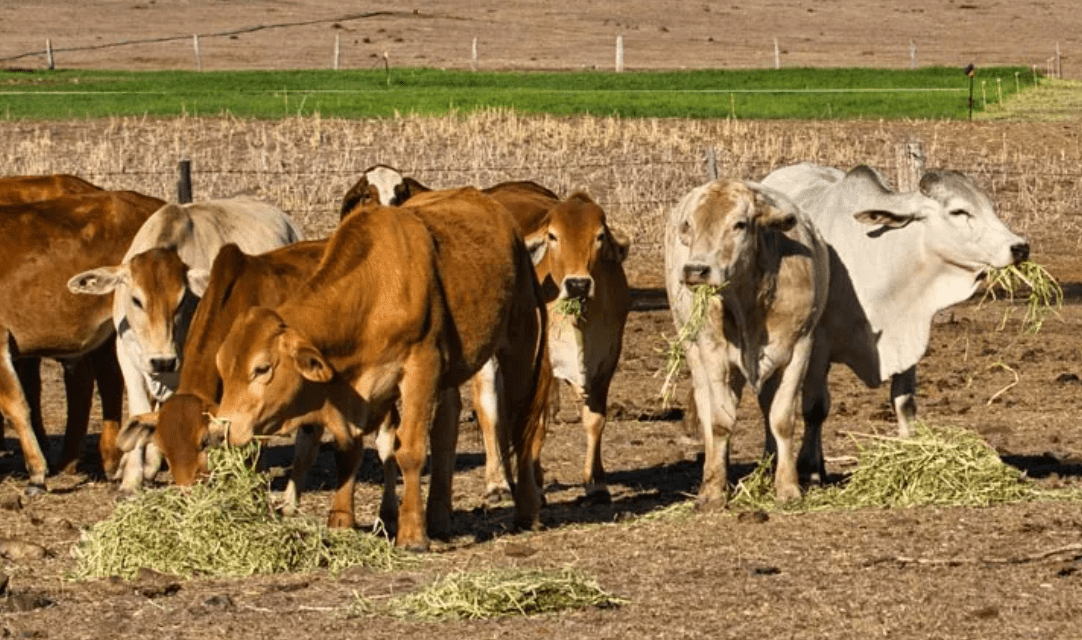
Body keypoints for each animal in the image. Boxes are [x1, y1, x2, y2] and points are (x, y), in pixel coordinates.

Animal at [212, 188, 549, 550]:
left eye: (261, 369)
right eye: (223, 368)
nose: (220, 432)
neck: (376, 289)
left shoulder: (421, 367)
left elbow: (410, 449)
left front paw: (412, 533)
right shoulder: (360, 390)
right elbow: (349, 451)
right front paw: (341, 519)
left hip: (520, 343)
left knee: (522, 424)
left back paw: (527, 510)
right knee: (446, 429)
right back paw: (439, 518)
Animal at [665, 178, 829, 506]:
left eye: (739, 224)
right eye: (690, 224)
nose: (695, 270)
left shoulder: (799, 348)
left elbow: (782, 419)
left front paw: (787, 486)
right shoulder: (712, 352)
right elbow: (719, 421)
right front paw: (714, 490)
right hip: (692, 348)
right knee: (707, 409)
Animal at [760, 163, 1029, 482]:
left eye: (989, 205)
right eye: (958, 211)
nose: (1020, 247)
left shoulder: (907, 336)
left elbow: (904, 403)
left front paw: (910, 452)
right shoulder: (817, 346)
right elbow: (815, 408)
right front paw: (810, 470)